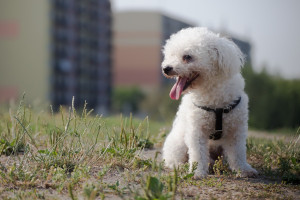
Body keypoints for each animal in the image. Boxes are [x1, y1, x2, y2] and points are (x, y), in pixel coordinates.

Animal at [162, 26, 258, 178]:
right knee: (173, 161)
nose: (166, 68)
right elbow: (198, 154)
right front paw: (197, 172)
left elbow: (238, 153)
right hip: (178, 143)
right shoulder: (196, 130)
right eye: (170, 55)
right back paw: (183, 166)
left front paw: (243, 170)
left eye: (187, 57)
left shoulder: (236, 130)